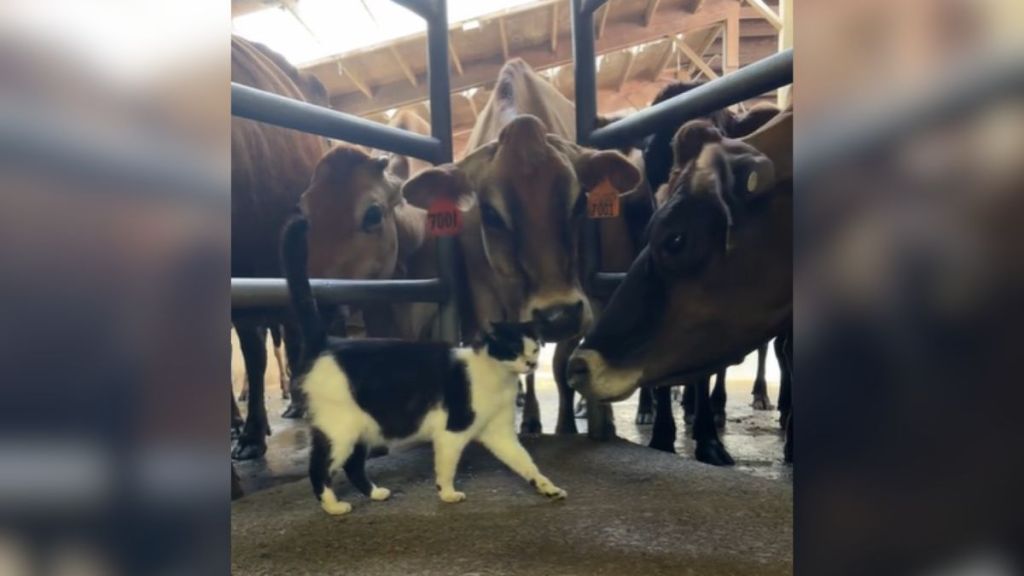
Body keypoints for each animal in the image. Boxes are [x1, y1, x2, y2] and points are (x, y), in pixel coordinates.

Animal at [280, 216, 569, 516]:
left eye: (534, 348)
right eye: (514, 350)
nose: (531, 362)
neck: (498, 379)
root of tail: (327, 341)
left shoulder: (500, 434)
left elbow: (526, 463)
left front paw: (547, 487)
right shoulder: (451, 433)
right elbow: (446, 468)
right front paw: (447, 494)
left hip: (362, 429)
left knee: (353, 465)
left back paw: (375, 493)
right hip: (340, 431)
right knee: (319, 467)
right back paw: (333, 506)